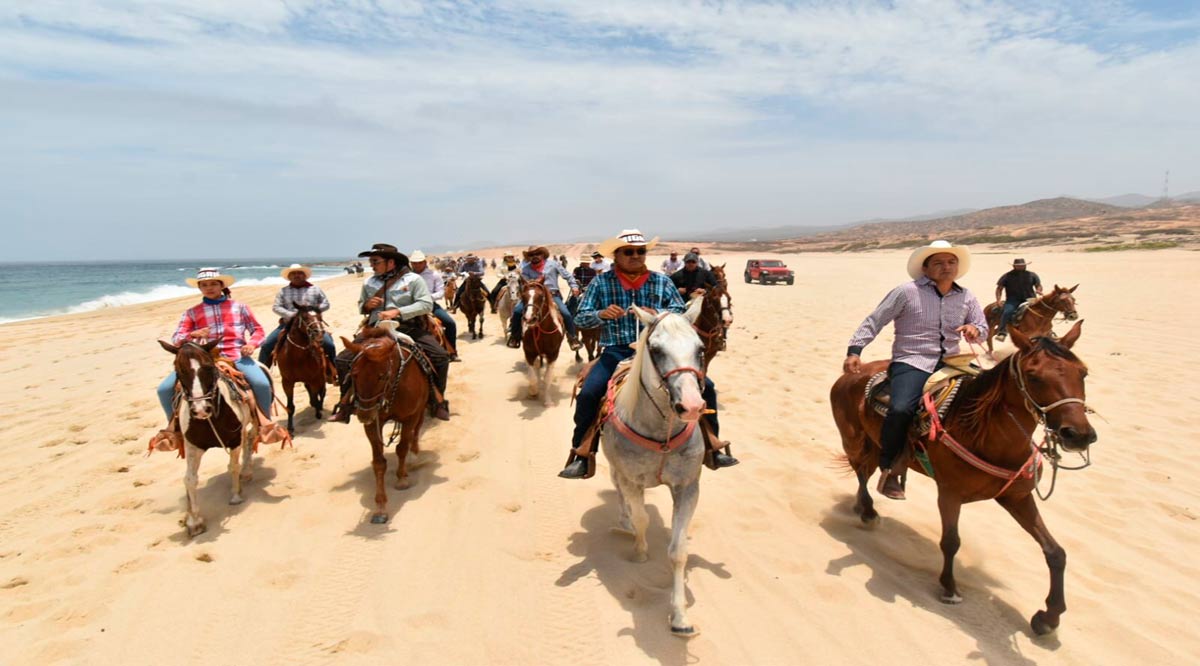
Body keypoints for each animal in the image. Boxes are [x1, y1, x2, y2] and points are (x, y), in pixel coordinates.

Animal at [157, 340, 258, 540]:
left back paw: (246, 472)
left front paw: (236, 495)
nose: (201, 409)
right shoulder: (192, 446)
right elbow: (190, 479)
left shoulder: (234, 439)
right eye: (178, 370)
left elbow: (233, 466)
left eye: (209, 367)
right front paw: (193, 521)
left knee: (250, 438)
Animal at [271, 306, 328, 434]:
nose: (319, 333)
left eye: (320, 317)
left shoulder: (314, 379)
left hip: (320, 377)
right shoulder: (287, 382)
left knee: (322, 392)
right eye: (305, 317)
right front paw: (290, 428)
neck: (296, 357)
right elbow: (290, 407)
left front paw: (318, 412)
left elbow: (315, 399)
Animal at [338, 331, 432, 523]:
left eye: (382, 376)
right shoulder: (373, 424)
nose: (364, 414)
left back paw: (414, 454)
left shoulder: (409, 417)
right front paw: (380, 507)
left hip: (421, 408)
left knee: (416, 431)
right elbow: (379, 463)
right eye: (354, 374)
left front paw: (402, 480)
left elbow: (402, 448)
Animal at [604, 300, 705, 638]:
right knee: (618, 492)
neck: (662, 434)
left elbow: (677, 551)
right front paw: (639, 551)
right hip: (614, 468)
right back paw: (622, 522)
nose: (692, 406)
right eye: (657, 350)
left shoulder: (688, 487)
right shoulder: (632, 480)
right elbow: (641, 519)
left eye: (700, 348)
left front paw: (680, 617)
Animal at [835, 321, 1099, 633]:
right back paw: (867, 512)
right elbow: (951, 541)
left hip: (876, 447)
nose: (1078, 435)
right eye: (1033, 376)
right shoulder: (949, 493)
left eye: (1083, 373)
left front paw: (1049, 617)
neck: (982, 432)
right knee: (861, 474)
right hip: (854, 441)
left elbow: (1055, 552)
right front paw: (949, 588)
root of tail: (852, 372)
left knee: (867, 473)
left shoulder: (1016, 497)